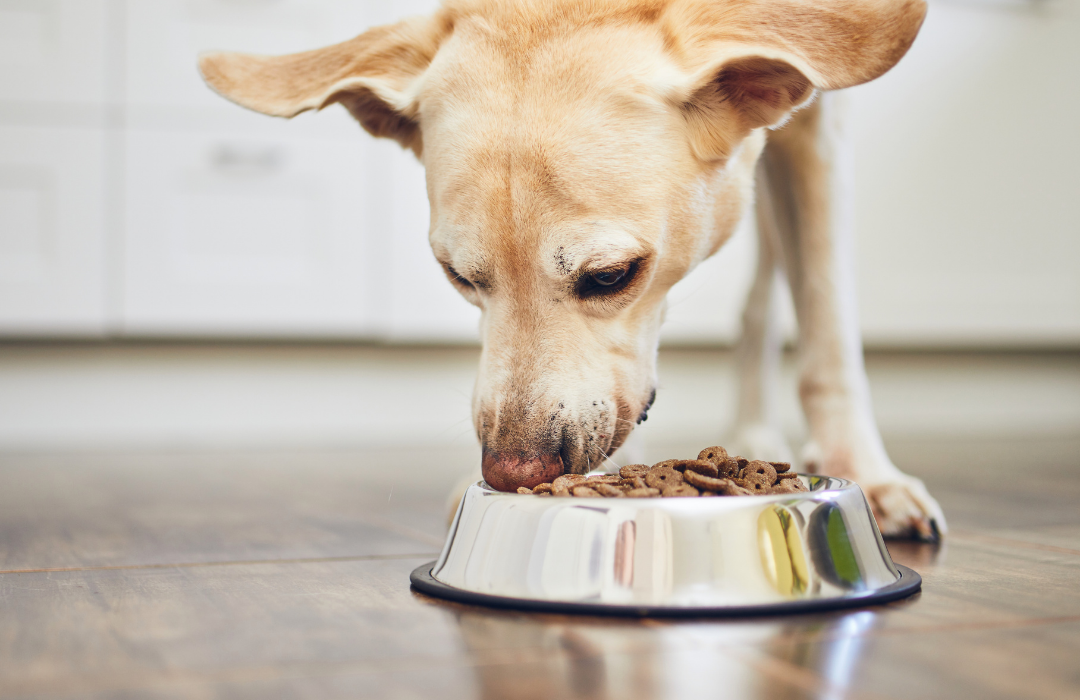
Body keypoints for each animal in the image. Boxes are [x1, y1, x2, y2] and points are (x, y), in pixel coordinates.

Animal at [200, 0, 946, 542]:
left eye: (612, 276)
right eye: (457, 276)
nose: (511, 472)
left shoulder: (821, 124)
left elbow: (827, 324)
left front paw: (863, 474)